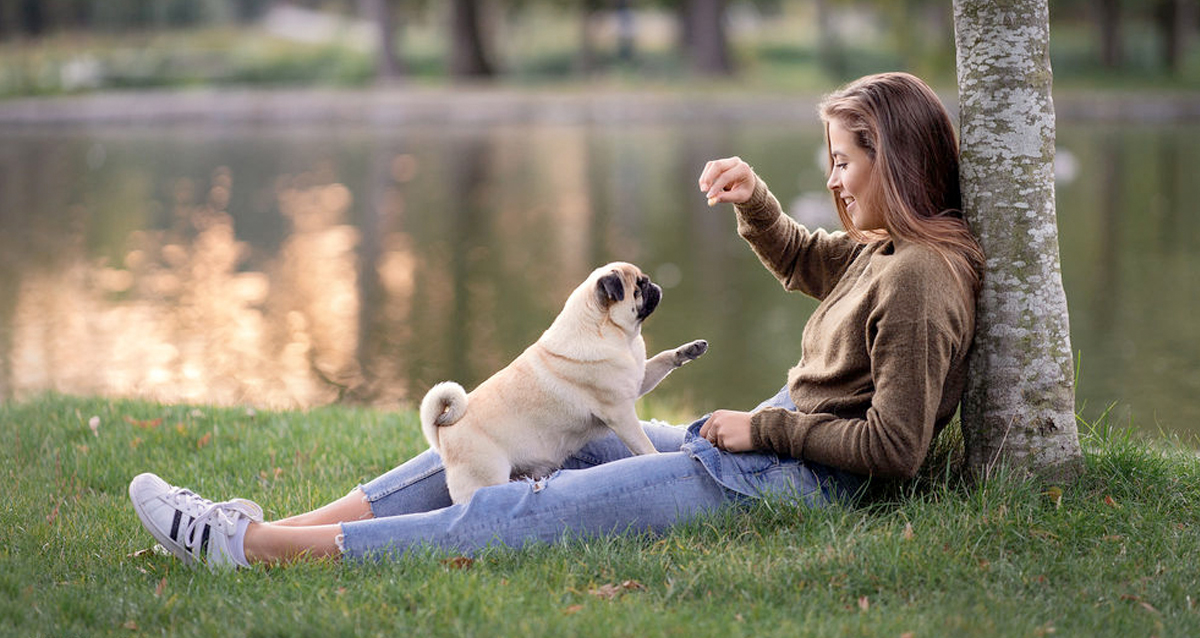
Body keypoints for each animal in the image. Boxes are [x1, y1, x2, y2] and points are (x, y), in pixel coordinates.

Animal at [420, 260, 705, 503]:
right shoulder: (620, 413)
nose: (654, 285)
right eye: (639, 286)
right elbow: (643, 444)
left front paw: (687, 351)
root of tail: (443, 432)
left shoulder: (638, 379)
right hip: (484, 477)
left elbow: (662, 360)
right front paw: (657, 460)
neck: (614, 335)